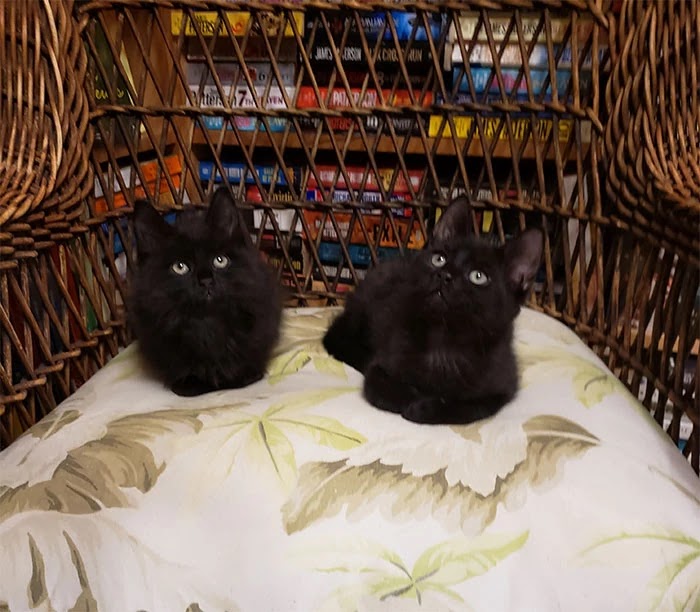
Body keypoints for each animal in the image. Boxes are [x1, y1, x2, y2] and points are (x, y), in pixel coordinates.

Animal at [130, 188, 284, 396]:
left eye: (220, 260)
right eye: (180, 267)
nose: (206, 280)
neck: (207, 321)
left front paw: (242, 376)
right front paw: (190, 385)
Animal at [326, 197, 544, 426]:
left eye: (478, 276)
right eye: (439, 259)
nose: (444, 275)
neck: (443, 340)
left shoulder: (501, 387)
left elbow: (467, 408)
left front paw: (423, 407)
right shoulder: (379, 367)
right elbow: (382, 387)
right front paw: (412, 399)